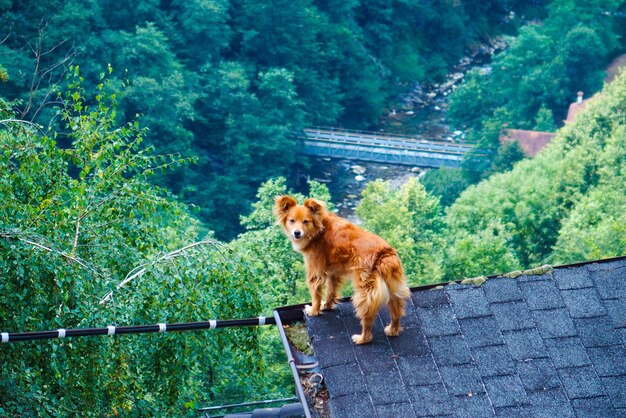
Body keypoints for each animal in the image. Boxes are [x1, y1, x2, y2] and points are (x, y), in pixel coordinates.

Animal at [272, 194, 410, 344]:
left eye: (306, 222)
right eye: (292, 221)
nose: (297, 233)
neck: (320, 229)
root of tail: (384, 254)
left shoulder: (315, 271)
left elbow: (316, 294)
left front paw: (314, 311)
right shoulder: (333, 272)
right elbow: (330, 292)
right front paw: (326, 306)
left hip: (364, 293)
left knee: (367, 317)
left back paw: (362, 338)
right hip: (393, 287)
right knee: (396, 310)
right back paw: (392, 330)